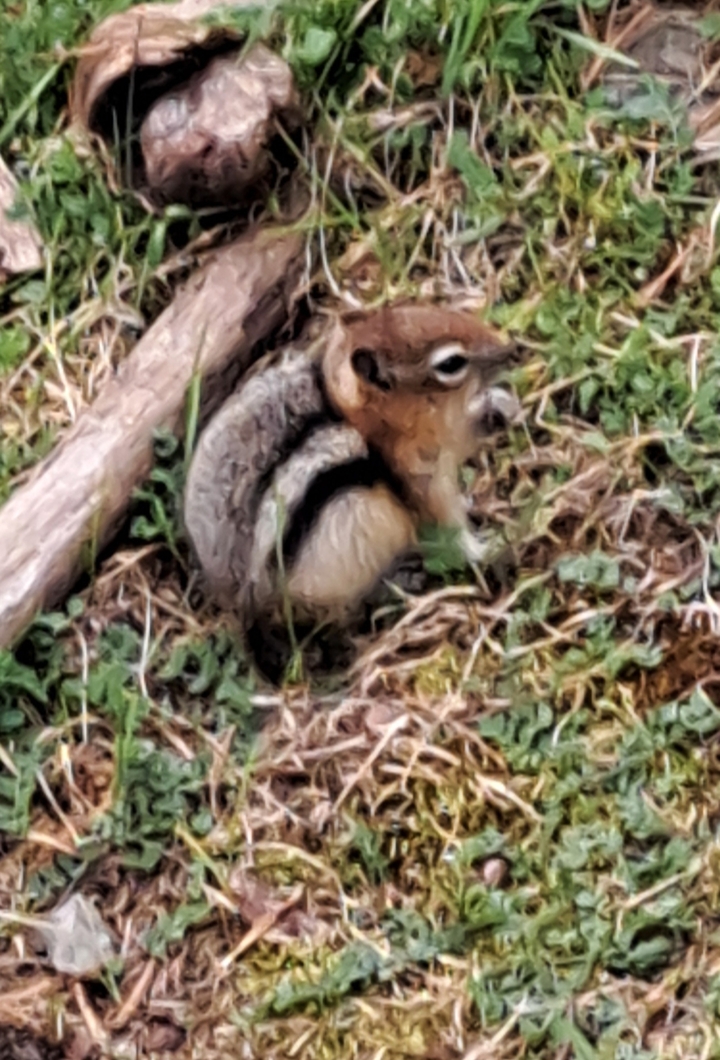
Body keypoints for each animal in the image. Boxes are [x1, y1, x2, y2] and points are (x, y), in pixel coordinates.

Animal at [183, 303, 513, 678]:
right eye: (451, 363)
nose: (512, 349)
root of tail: (238, 602)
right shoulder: (423, 479)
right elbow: (451, 530)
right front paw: (493, 547)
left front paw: (498, 404)